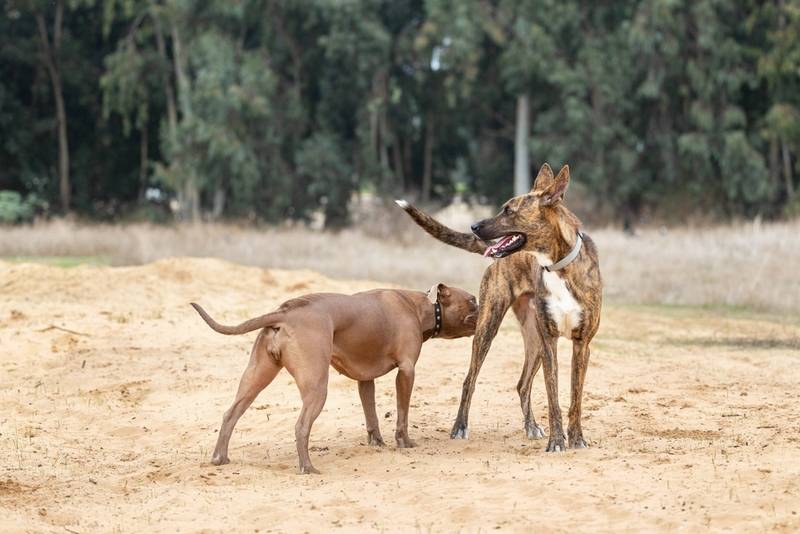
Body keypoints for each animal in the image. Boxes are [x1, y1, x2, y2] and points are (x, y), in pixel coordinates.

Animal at [189, 286, 476, 476]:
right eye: (472, 299)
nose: (482, 304)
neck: (421, 307)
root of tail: (284, 313)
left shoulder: (366, 380)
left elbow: (371, 416)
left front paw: (378, 444)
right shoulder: (407, 371)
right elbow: (402, 414)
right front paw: (404, 442)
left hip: (255, 378)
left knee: (230, 414)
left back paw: (220, 458)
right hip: (316, 387)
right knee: (301, 426)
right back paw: (307, 467)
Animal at [396, 162, 604, 452]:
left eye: (508, 210)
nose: (473, 225)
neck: (557, 265)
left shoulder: (581, 344)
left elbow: (576, 398)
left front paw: (576, 439)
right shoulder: (549, 341)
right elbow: (553, 398)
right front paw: (557, 442)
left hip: (534, 341)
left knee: (522, 384)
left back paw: (531, 426)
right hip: (489, 327)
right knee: (469, 380)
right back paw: (460, 427)